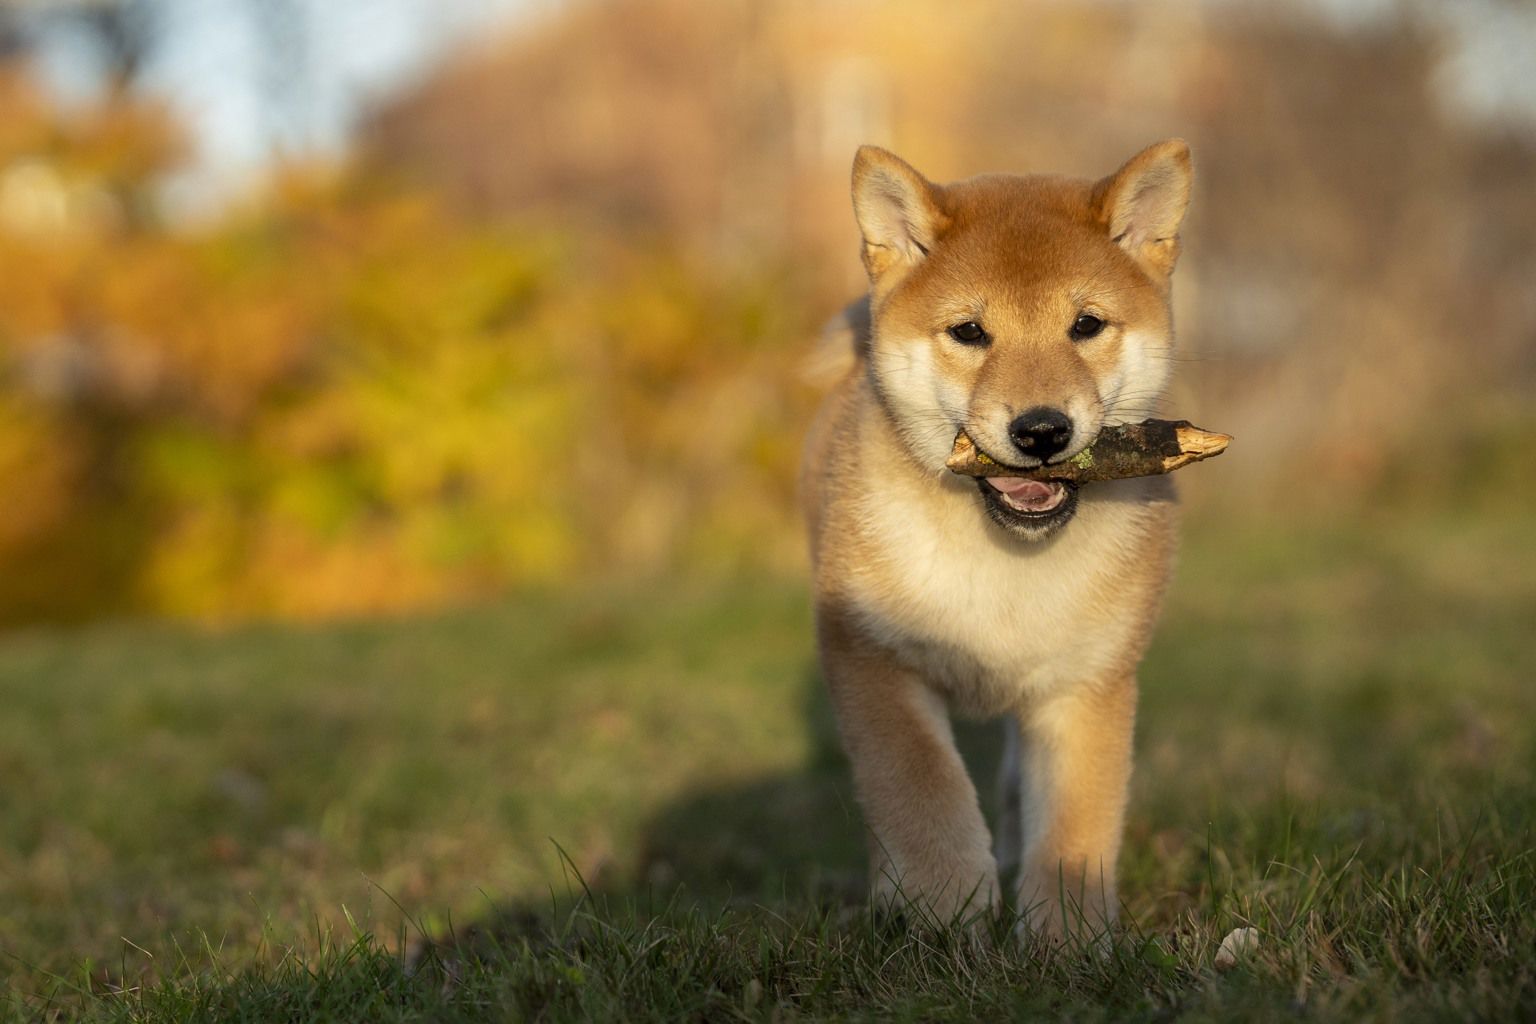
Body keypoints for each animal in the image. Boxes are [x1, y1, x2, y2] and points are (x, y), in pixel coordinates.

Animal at [798, 140, 1191, 939]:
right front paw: (946, 902)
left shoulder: (1087, 680)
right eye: (970, 332)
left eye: (1087, 325)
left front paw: (1067, 935)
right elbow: (918, 786)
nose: (1042, 430)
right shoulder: (870, 656)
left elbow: (1075, 820)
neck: (1004, 558)